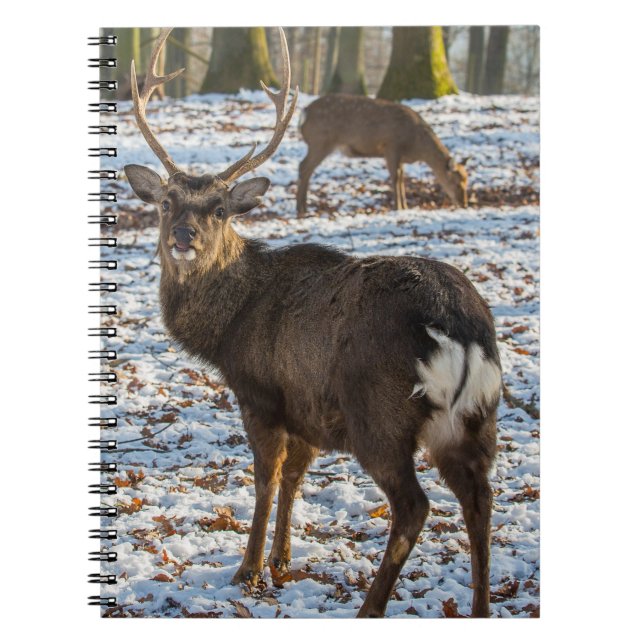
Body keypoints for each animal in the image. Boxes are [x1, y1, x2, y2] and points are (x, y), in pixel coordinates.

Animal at [296, 94, 468, 215]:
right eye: (457, 182)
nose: (464, 204)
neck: (415, 145)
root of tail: (304, 112)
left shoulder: (400, 156)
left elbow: (402, 177)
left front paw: (405, 206)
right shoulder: (391, 146)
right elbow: (396, 177)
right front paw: (398, 207)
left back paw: (303, 207)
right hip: (320, 142)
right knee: (304, 167)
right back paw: (301, 209)